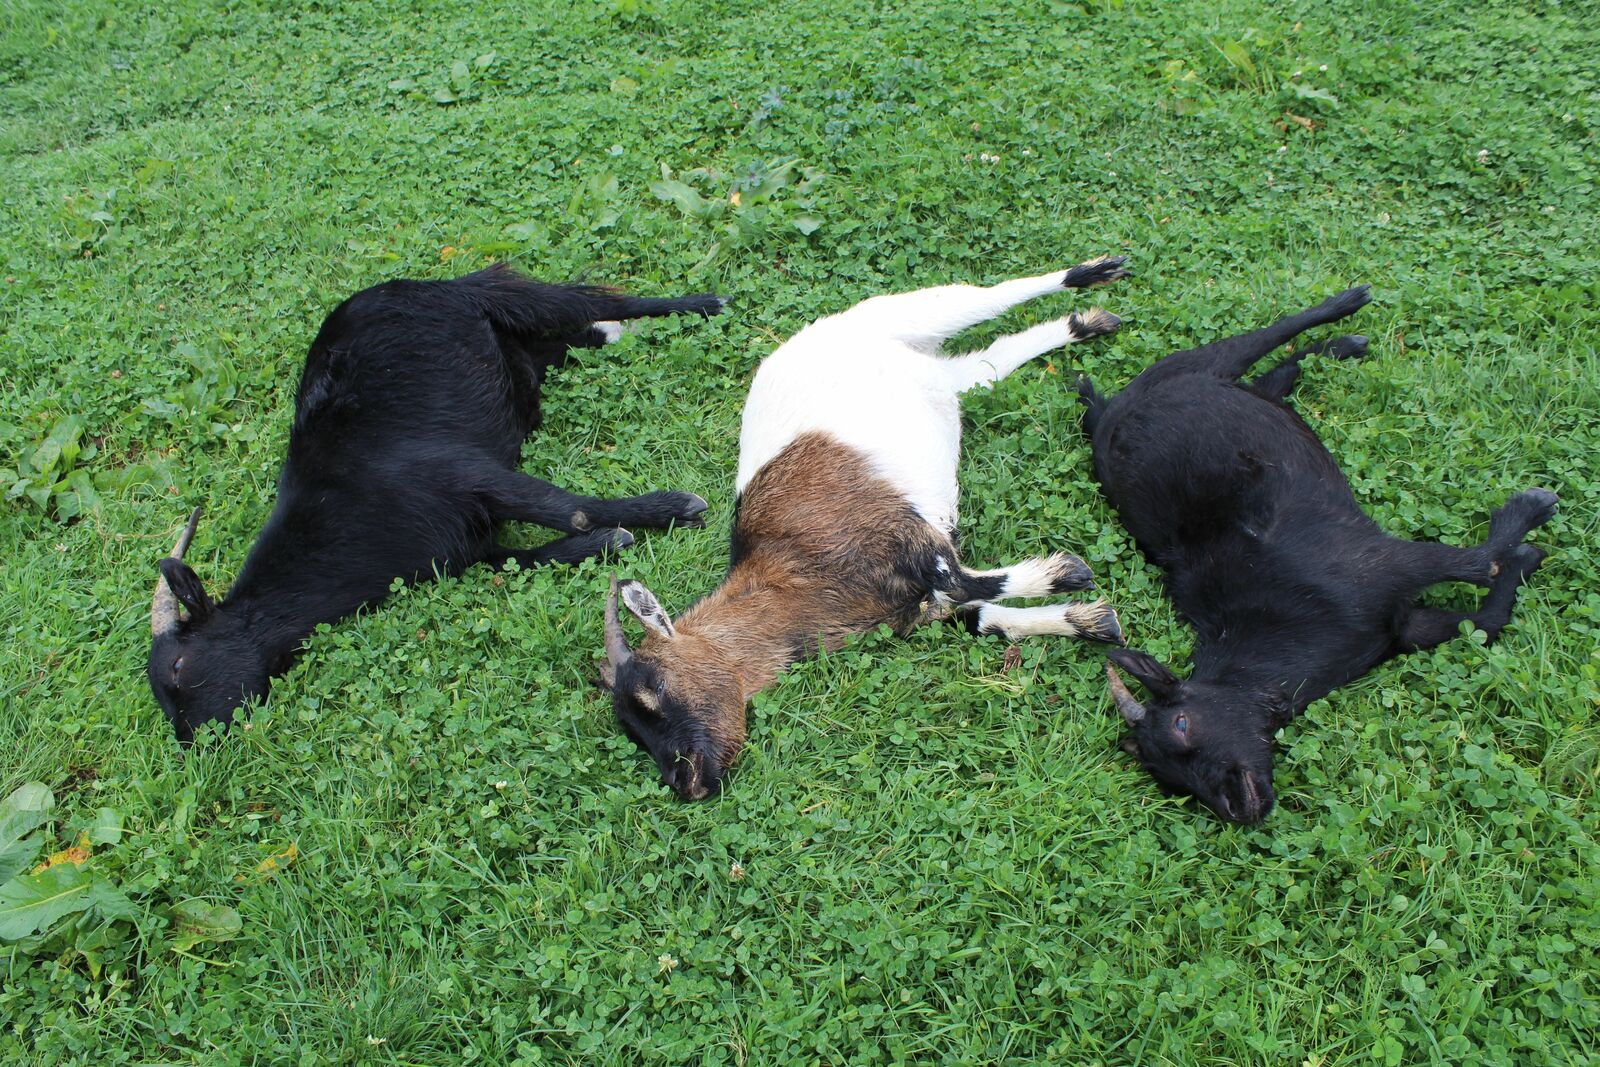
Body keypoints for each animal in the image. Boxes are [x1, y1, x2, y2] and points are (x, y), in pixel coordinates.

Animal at [147, 265, 723, 742]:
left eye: (178, 668)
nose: (194, 741)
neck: (342, 508)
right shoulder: (457, 552)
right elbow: (523, 556)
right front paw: (609, 541)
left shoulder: (468, 473)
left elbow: (565, 507)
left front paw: (674, 507)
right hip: (517, 359)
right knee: (561, 343)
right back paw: (609, 334)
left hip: (508, 300)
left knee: (589, 300)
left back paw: (703, 303)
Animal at [598, 259, 1126, 796]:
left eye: (652, 691)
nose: (685, 782)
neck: (787, 577)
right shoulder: (912, 608)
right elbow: (978, 615)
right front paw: (1092, 620)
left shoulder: (899, 535)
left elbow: (960, 579)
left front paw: (1066, 573)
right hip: (949, 379)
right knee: (990, 362)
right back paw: (1090, 322)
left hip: (911, 312)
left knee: (989, 294)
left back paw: (1094, 275)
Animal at [1081, 289, 1555, 825]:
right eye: (1170, 780)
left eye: (1183, 723)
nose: (1236, 807)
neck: (1283, 626)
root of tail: (1109, 413)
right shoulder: (1403, 628)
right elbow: (1486, 621)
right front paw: (1528, 555)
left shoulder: (1379, 565)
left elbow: (1479, 562)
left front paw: (1530, 511)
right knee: (1274, 377)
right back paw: (1343, 344)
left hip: (1191, 365)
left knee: (1263, 338)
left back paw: (1346, 306)